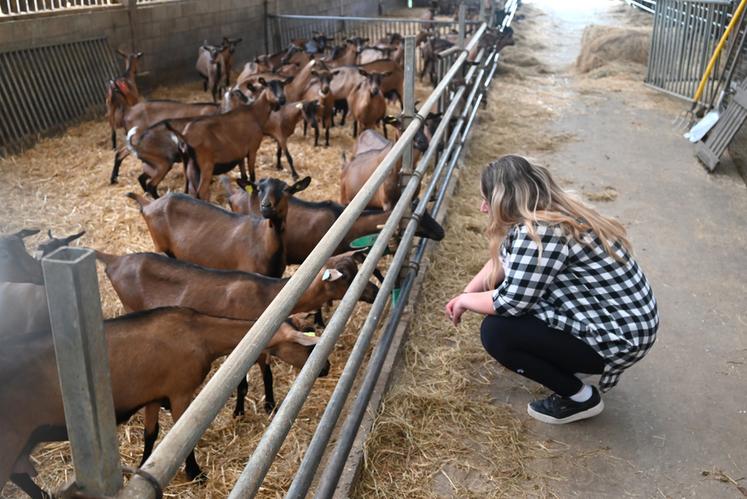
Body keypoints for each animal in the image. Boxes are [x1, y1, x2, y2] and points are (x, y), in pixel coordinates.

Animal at [1, 306, 326, 498]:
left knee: (21, 474)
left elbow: (152, 434)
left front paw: (144, 466)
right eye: (306, 344)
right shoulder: (180, 391)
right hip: (11, 439)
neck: (199, 334)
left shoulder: (154, 396)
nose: (326, 367)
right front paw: (196, 474)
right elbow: (183, 435)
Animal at [129, 176, 310, 278]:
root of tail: (148, 204)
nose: (266, 206)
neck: (264, 242)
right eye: (259, 189)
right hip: (160, 245)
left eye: (287, 190)